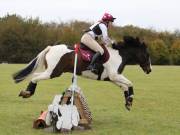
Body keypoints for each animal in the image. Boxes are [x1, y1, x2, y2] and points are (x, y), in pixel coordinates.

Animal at [12, 36, 152, 110]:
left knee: (35, 76)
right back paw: (27, 93)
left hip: (52, 71)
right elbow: (130, 83)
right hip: (53, 72)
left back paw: (26, 92)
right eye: (147, 54)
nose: (149, 70)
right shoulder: (115, 75)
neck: (119, 55)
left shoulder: (112, 78)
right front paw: (130, 99)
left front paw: (128, 102)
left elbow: (124, 86)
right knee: (35, 77)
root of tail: (51, 48)